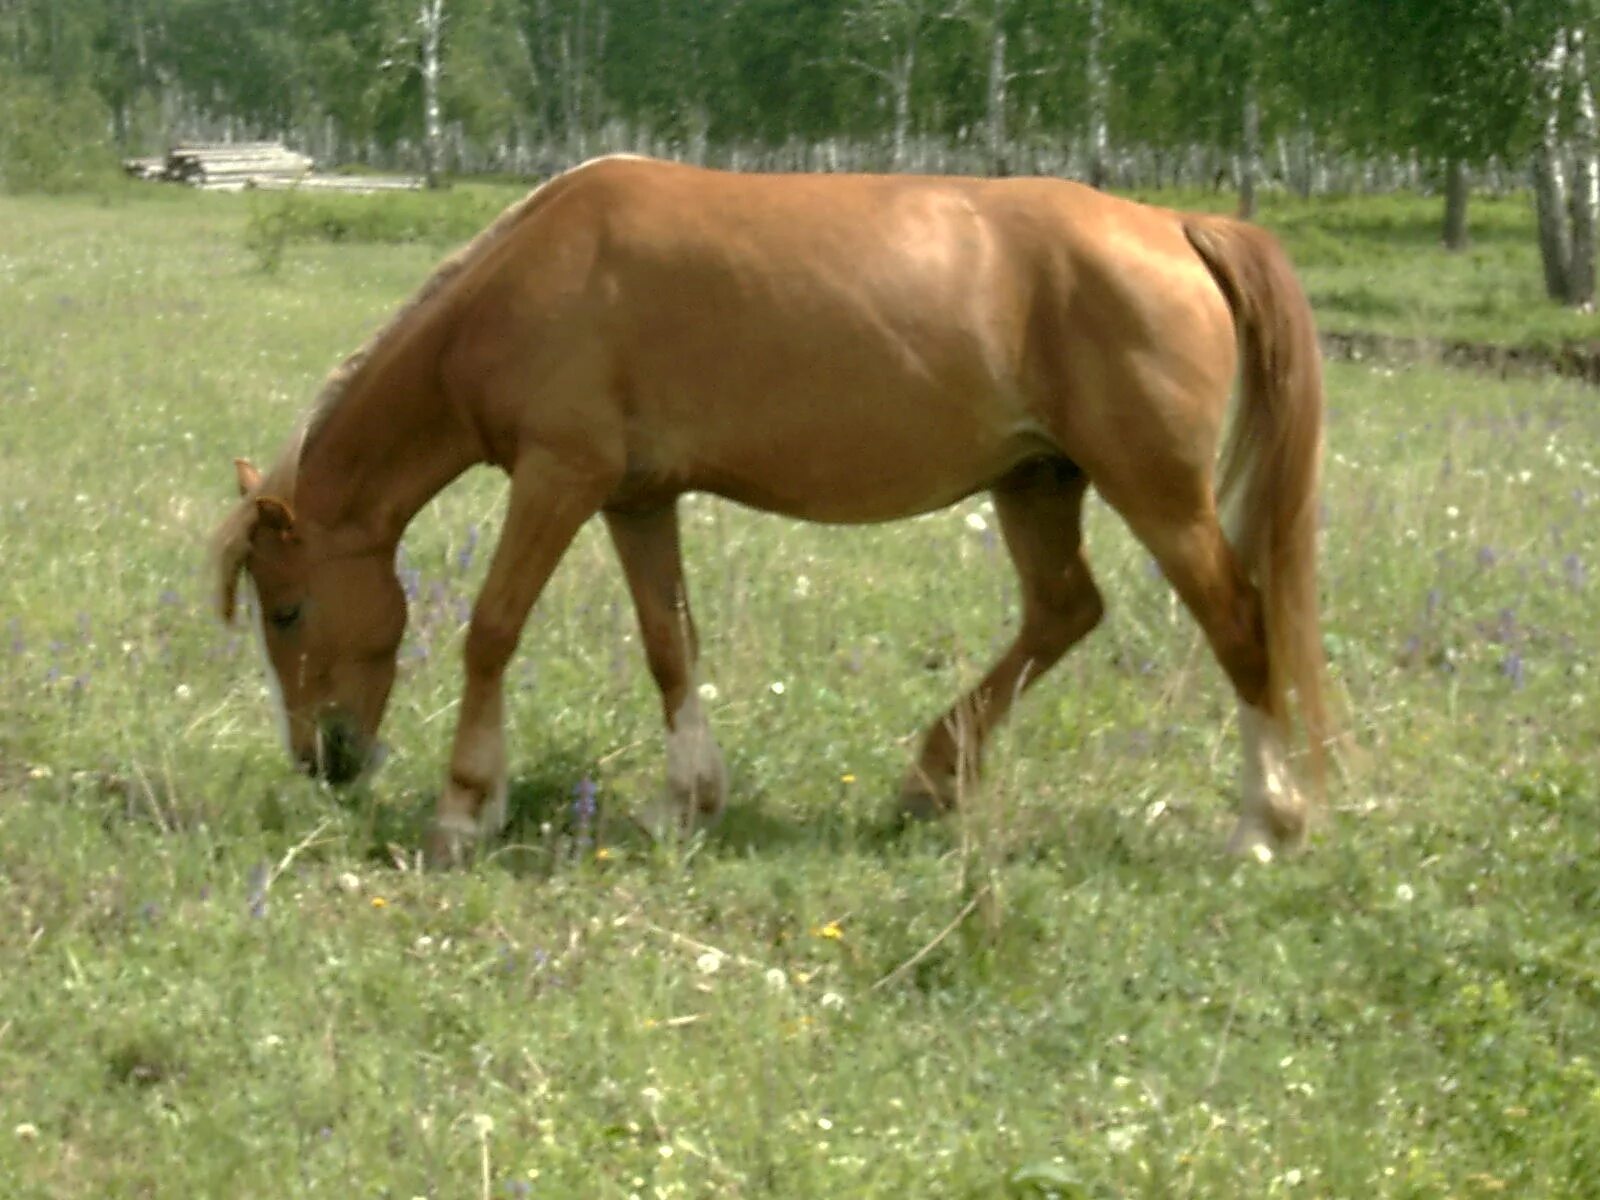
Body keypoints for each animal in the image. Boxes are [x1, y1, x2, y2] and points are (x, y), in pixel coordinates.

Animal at [216, 155, 1337, 870]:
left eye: (287, 611)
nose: (323, 760)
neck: (530, 281)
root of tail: (1178, 228)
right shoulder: (636, 500)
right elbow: (669, 644)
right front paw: (686, 801)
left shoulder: (558, 477)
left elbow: (491, 631)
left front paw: (463, 811)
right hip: (1036, 483)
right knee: (1064, 613)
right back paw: (931, 779)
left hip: (1159, 496)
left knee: (1240, 629)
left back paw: (1263, 826)